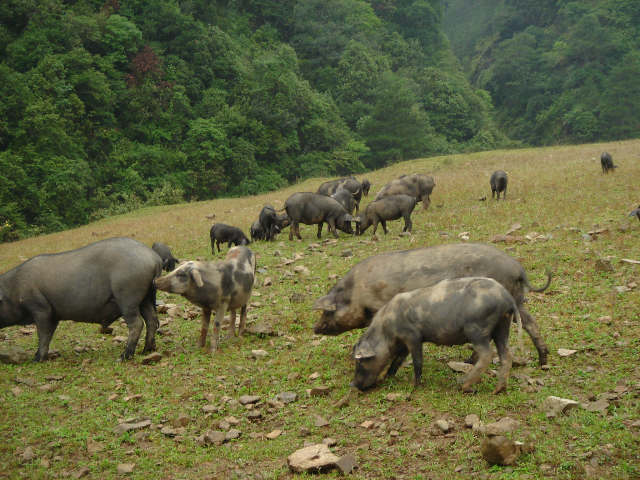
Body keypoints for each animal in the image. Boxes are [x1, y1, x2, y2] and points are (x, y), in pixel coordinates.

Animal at [0, 238, 162, 362]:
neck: (13, 290)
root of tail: (154, 257)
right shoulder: (53, 314)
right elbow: (48, 335)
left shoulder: (40, 308)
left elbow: (43, 334)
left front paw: (36, 359)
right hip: (147, 295)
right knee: (151, 318)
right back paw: (147, 350)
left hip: (127, 296)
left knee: (137, 323)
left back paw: (122, 357)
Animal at [312, 242, 552, 366]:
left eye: (327, 312)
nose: (315, 328)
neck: (356, 293)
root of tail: (518, 268)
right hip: (517, 299)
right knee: (530, 322)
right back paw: (542, 360)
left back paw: (469, 362)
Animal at [350, 278, 520, 394]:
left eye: (361, 361)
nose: (352, 384)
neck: (386, 328)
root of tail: (508, 299)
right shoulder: (403, 343)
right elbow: (397, 360)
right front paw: (387, 378)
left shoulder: (413, 336)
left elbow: (417, 359)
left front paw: (413, 385)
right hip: (502, 326)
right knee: (506, 355)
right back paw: (498, 390)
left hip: (477, 328)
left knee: (488, 354)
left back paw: (463, 385)